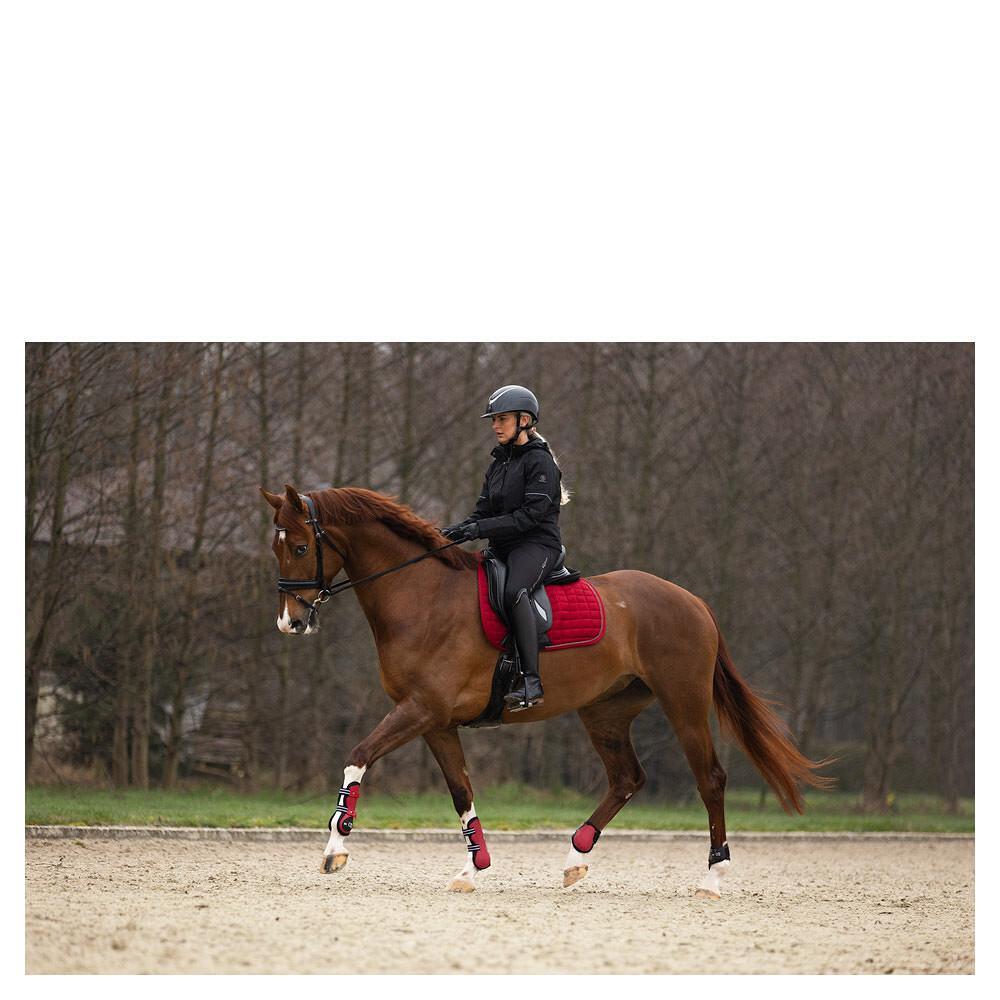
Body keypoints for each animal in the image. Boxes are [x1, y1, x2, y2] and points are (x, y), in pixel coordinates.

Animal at [261, 483, 831, 897]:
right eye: (277, 547)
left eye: (301, 546)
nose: (290, 623)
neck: (421, 596)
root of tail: (691, 600)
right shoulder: (434, 721)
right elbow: (460, 791)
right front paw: (474, 868)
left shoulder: (419, 710)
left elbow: (358, 756)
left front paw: (336, 846)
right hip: (604, 712)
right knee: (627, 778)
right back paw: (576, 857)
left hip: (684, 703)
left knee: (710, 779)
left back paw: (712, 877)